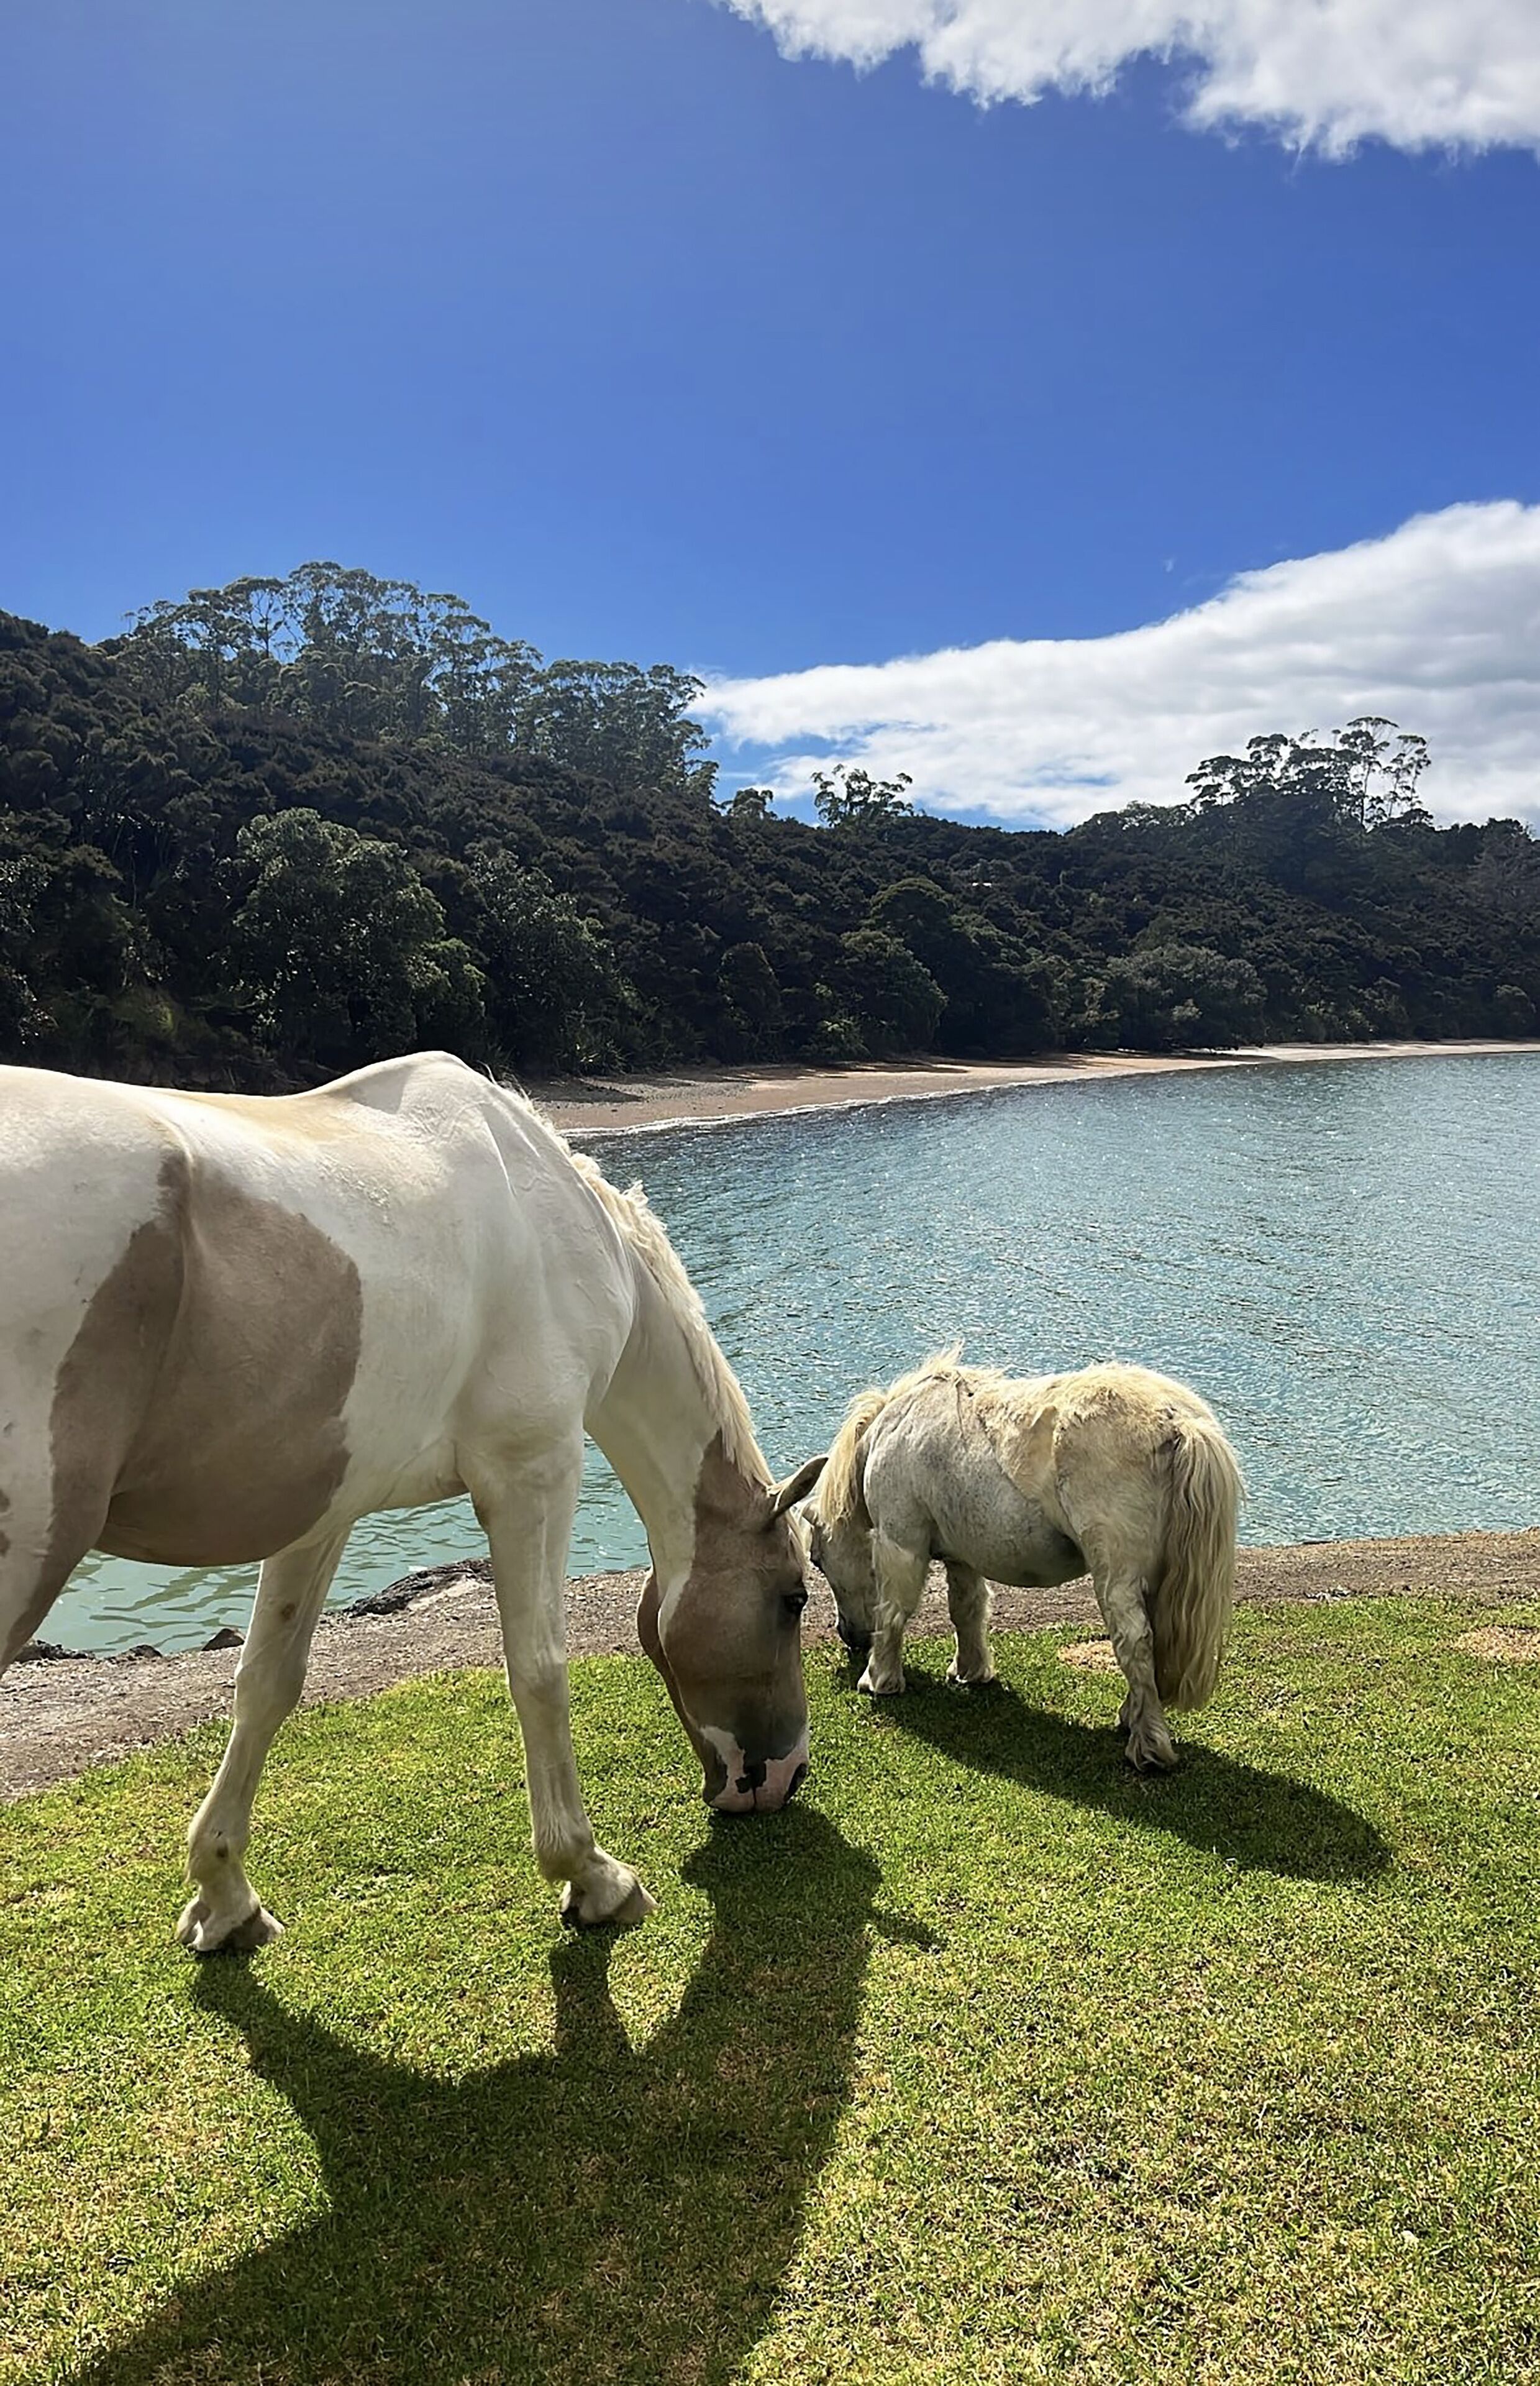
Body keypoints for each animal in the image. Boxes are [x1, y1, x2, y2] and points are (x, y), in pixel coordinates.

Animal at [0, 1052, 826, 1948]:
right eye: (792, 1598)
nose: (784, 1777)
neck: (555, 1222)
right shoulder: (533, 1471)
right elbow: (540, 1669)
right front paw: (590, 1875)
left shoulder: (322, 1515)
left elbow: (267, 1684)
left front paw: (225, 1896)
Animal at [799, 1352, 1243, 1772]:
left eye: (817, 1560)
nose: (850, 1636)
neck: (894, 1428)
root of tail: (1179, 1423)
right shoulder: (963, 1555)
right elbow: (968, 1610)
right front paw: (970, 1670)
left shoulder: (899, 1542)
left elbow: (893, 1612)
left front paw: (880, 1678)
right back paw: (1132, 1717)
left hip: (1117, 1573)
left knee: (1134, 1641)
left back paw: (1148, 1746)